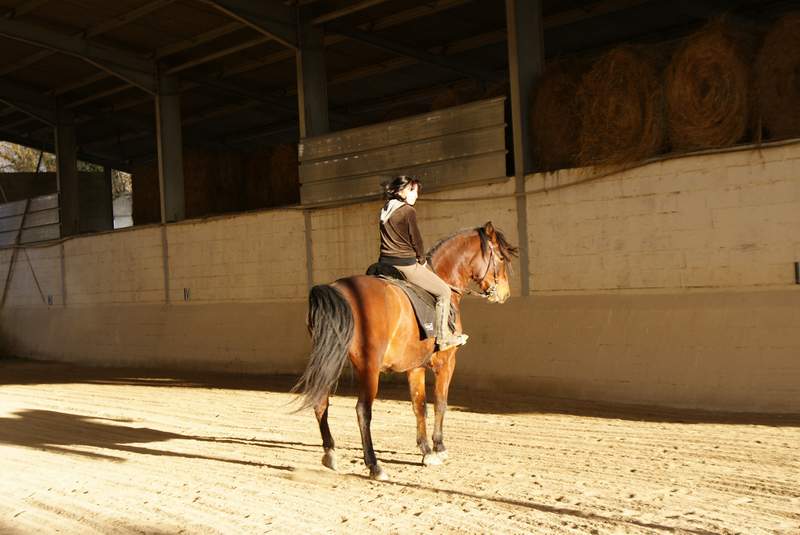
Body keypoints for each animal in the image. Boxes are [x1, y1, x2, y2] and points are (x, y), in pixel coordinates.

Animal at [294, 222, 520, 482]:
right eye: (500, 258)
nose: (504, 294)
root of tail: (337, 289)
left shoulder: (416, 367)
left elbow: (419, 406)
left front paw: (426, 451)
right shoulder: (446, 362)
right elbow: (440, 403)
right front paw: (439, 448)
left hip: (332, 361)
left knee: (321, 402)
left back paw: (330, 454)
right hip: (369, 368)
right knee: (363, 410)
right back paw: (375, 466)